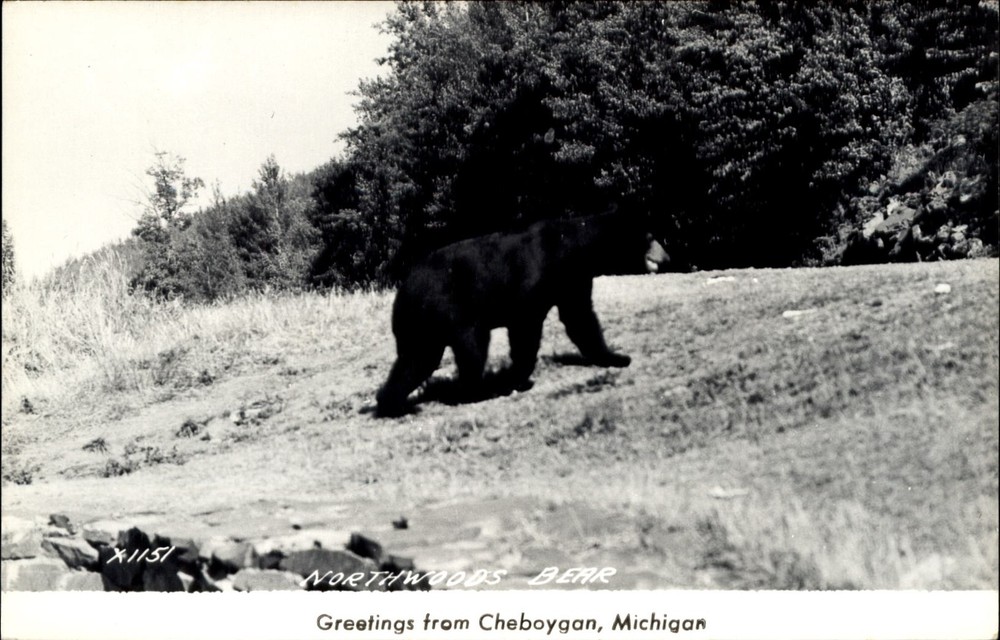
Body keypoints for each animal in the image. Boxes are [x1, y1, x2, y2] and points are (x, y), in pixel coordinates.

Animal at [375, 211, 669, 417]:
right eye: (650, 236)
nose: (666, 257)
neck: (574, 247)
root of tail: (403, 289)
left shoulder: (572, 280)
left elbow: (580, 317)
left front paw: (617, 357)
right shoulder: (536, 276)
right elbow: (526, 327)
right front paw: (517, 377)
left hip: (421, 324)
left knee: (415, 361)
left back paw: (392, 403)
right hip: (450, 309)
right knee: (470, 347)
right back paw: (481, 390)